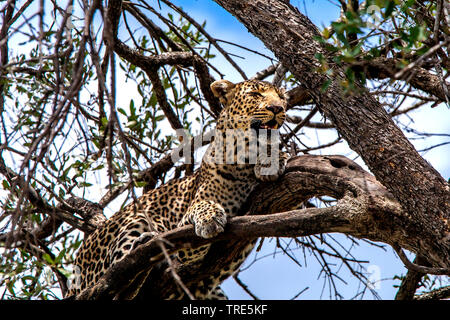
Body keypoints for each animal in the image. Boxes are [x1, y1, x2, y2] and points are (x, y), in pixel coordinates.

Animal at [67, 79, 288, 298]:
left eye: (281, 97)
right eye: (255, 94)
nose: (277, 108)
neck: (246, 158)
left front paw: (272, 160)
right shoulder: (185, 226)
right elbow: (201, 206)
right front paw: (209, 218)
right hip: (134, 220)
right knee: (116, 280)